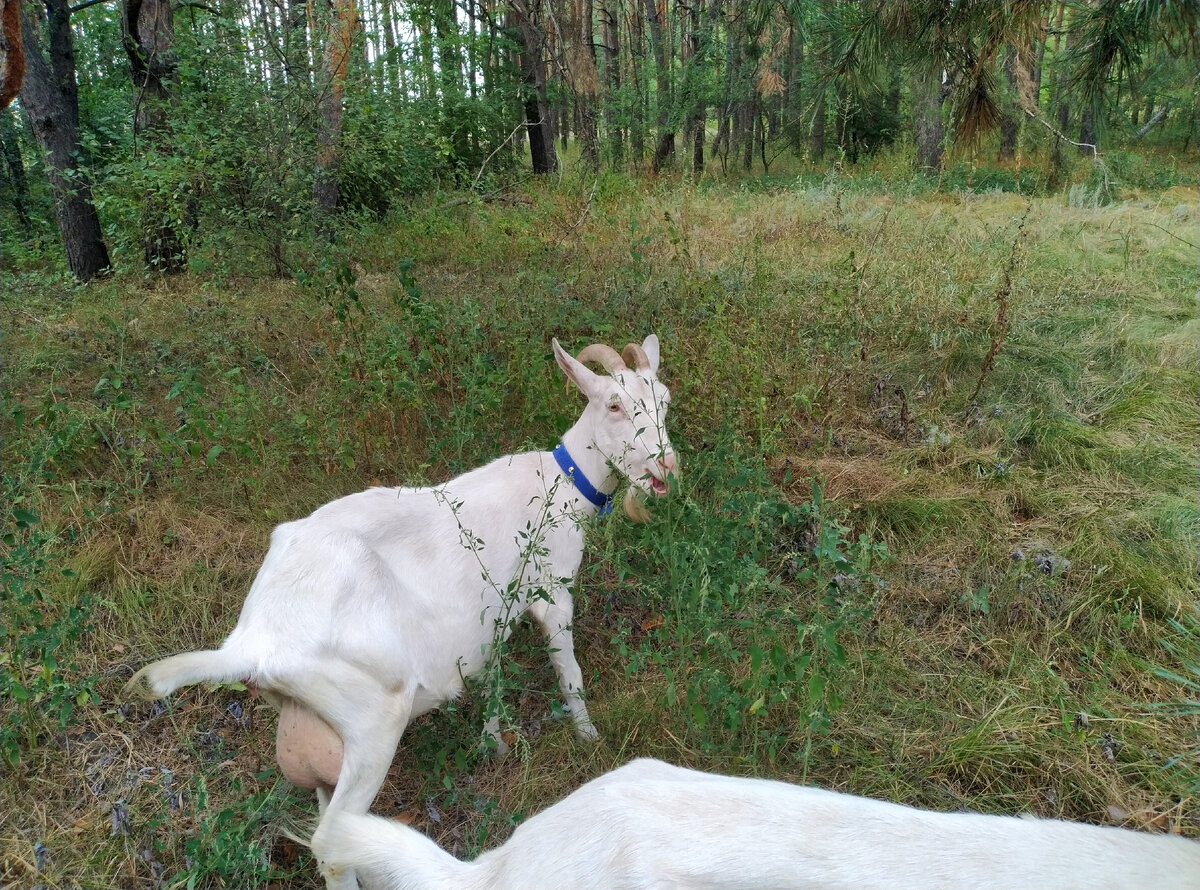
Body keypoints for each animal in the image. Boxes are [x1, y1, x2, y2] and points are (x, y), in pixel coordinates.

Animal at [129, 335, 686, 890]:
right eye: (613, 405)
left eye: (664, 400)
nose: (665, 469)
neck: (562, 484)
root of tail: (253, 642)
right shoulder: (553, 590)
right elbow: (569, 673)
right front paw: (589, 739)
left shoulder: (494, 612)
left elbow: (494, 672)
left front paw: (493, 741)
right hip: (371, 721)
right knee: (331, 846)